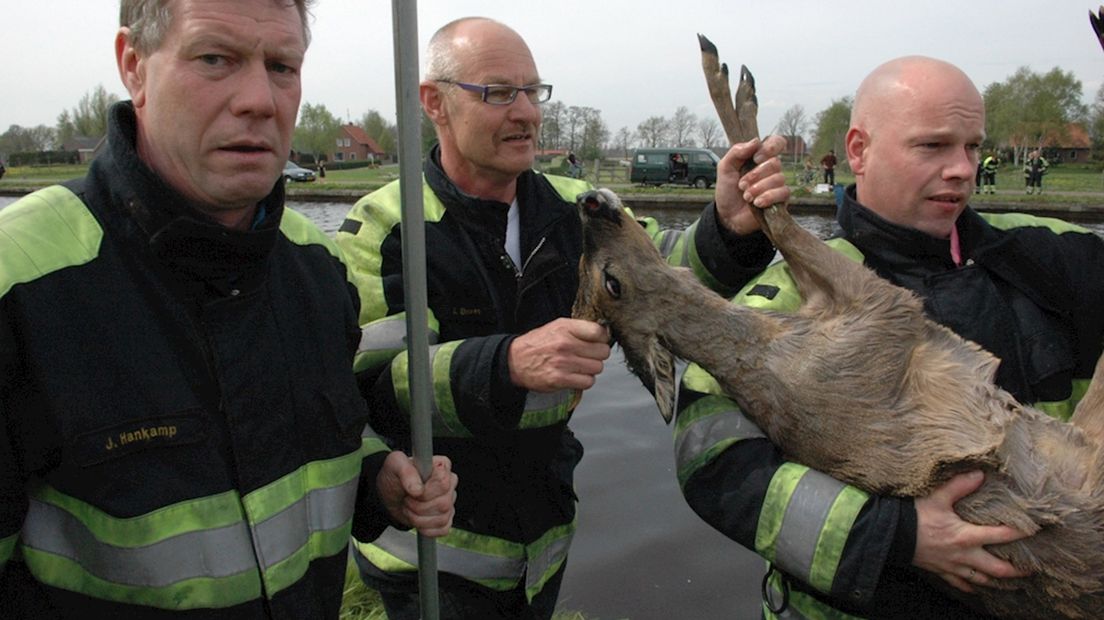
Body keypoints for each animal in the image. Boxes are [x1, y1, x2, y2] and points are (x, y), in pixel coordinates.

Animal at [574, 35, 1104, 617]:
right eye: (612, 282)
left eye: (592, 275)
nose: (588, 200)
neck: (768, 345)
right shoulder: (882, 315)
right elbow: (781, 221)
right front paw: (728, 83)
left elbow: (772, 221)